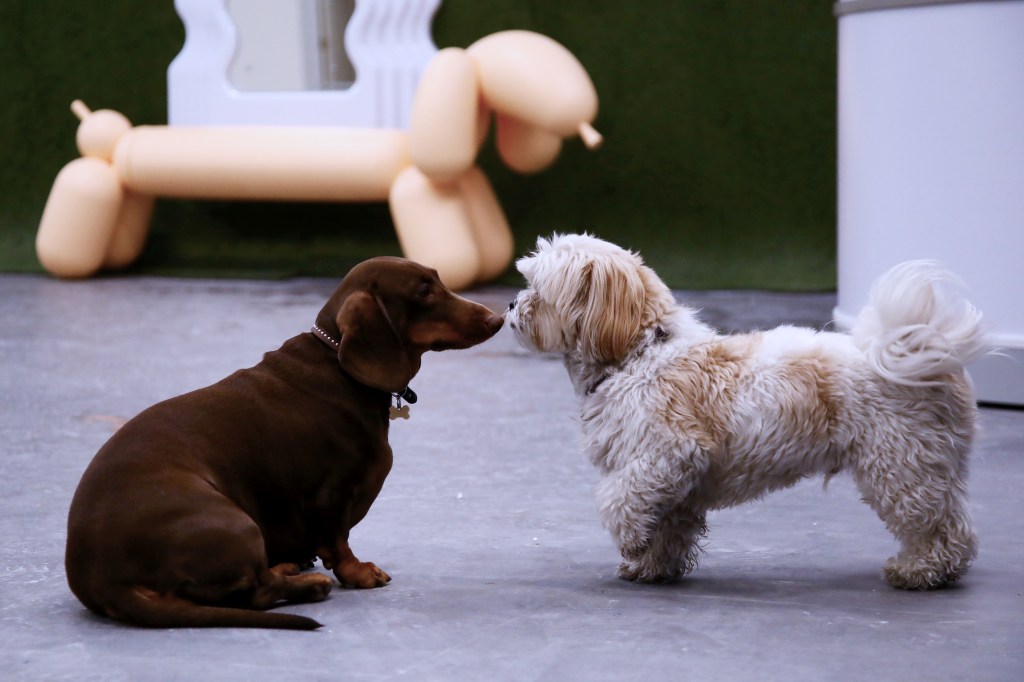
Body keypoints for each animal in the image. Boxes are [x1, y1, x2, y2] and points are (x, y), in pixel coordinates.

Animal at [507, 232, 987, 585]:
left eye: (538, 289)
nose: (511, 303)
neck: (637, 354)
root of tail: (914, 352)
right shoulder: (672, 482)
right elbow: (666, 525)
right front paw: (651, 565)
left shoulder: (669, 453)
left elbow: (617, 500)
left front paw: (630, 542)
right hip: (923, 463)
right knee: (955, 518)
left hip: (900, 465)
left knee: (936, 526)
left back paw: (920, 569)